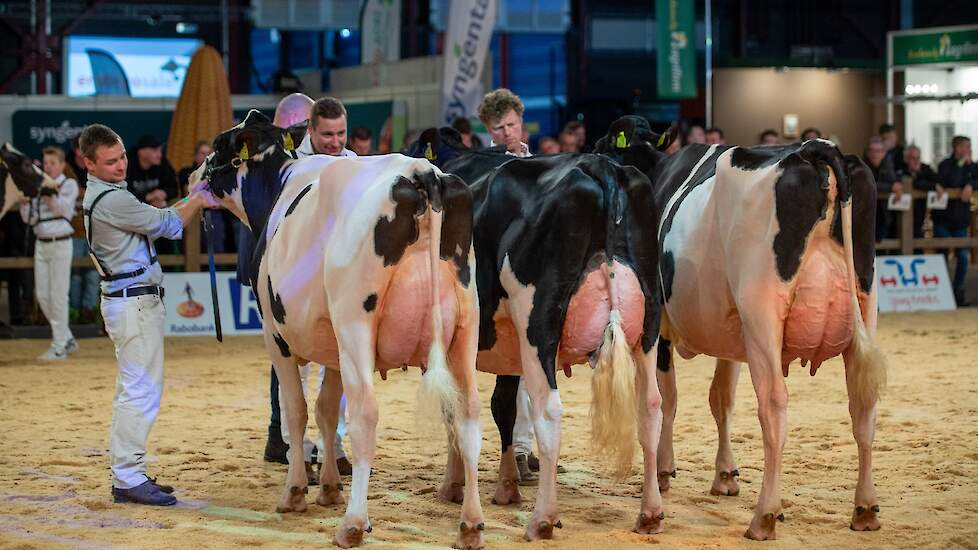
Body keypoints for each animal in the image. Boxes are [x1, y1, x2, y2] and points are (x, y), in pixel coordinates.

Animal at [187, 110, 484, 548]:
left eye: (219, 146)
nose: (192, 176)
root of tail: (421, 171)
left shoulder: (276, 337)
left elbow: (296, 410)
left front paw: (295, 492)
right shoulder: (332, 347)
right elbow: (327, 410)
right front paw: (328, 488)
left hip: (356, 323)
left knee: (366, 414)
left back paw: (354, 523)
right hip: (464, 328)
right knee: (469, 414)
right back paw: (471, 523)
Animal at [596, 114, 884, 540]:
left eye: (604, 145)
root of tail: (816, 148)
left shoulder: (662, 323)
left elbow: (670, 398)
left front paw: (664, 470)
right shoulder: (731, 332)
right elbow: (721, 399)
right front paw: (725, 475)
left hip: (762, 311)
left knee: (774, 405)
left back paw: (765, 515)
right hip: (863, 304)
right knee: (863, 404)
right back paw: (864, 508)